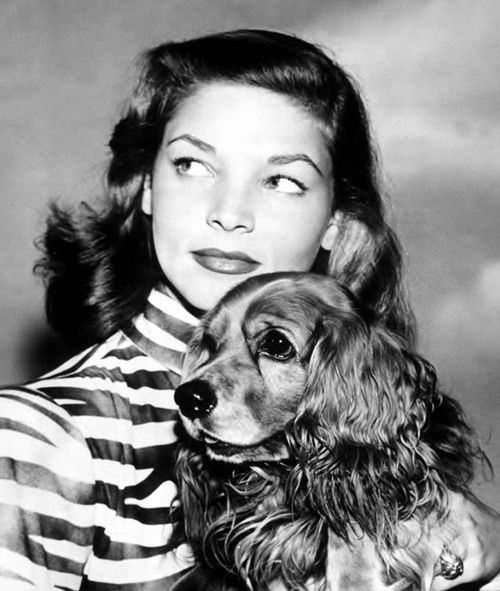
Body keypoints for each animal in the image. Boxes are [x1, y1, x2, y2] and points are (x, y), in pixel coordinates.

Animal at [173, 272, 480, 591]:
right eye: (210, 345)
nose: (188, 398)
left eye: (277, 343)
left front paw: (353, 574)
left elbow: (352, 523)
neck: (288, 473)